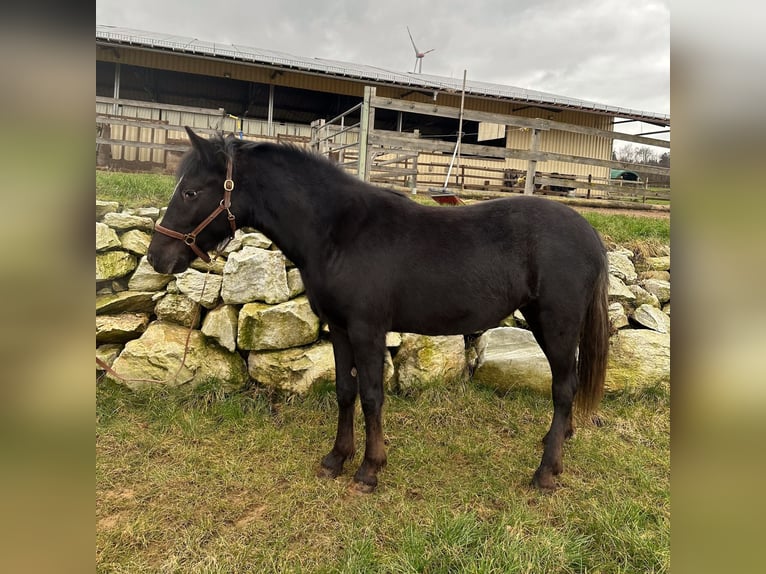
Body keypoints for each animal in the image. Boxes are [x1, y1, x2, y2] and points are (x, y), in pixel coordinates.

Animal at [147, 128, 608, 492]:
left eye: (190, 192)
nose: (157, 257)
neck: (340, 233)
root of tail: (589, 233)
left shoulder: (367, 330)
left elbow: (371, 395)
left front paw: (369, 470)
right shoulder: (339, 328)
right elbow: (344, 391)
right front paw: (336, 459)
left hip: (557, 323)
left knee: (563, 388)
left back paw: (546, 472)